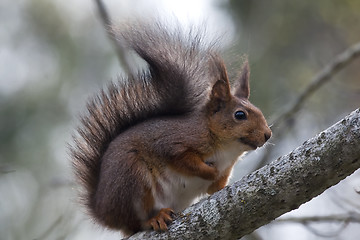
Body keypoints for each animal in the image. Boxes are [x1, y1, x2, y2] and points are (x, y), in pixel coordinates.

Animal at [70, 19, 270, 235]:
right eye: (240, 115)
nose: (267, 135)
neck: (226, 149)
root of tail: (101, 210)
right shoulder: (173, 144)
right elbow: (185, 161)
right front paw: (210, 171)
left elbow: (214, 188)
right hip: (132, 179)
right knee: (136, 222)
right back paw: (155, 218)